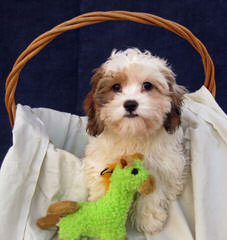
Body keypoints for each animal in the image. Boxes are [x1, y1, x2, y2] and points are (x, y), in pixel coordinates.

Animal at [82, 47, 187, 233]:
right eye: (116, 87)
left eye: (147, 85)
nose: (130, 104)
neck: (133, 134)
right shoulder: (100, 161)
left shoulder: (161, 167)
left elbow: (153, 193)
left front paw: (149, 218)